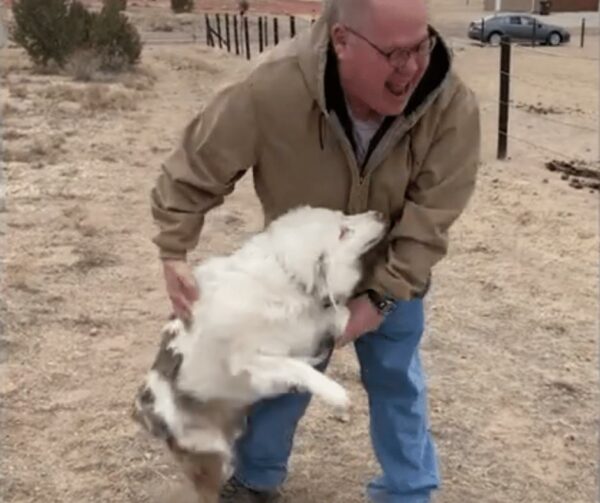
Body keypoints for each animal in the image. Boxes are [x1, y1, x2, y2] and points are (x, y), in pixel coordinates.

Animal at [132, 206, 386, 503]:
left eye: (344, 217)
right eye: (343, 231)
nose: (381, 214)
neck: (288, 277)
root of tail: (142, 412)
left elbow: (333, 321)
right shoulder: (247, 361)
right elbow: (295, 366)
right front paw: (335, 394)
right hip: (212, 456)